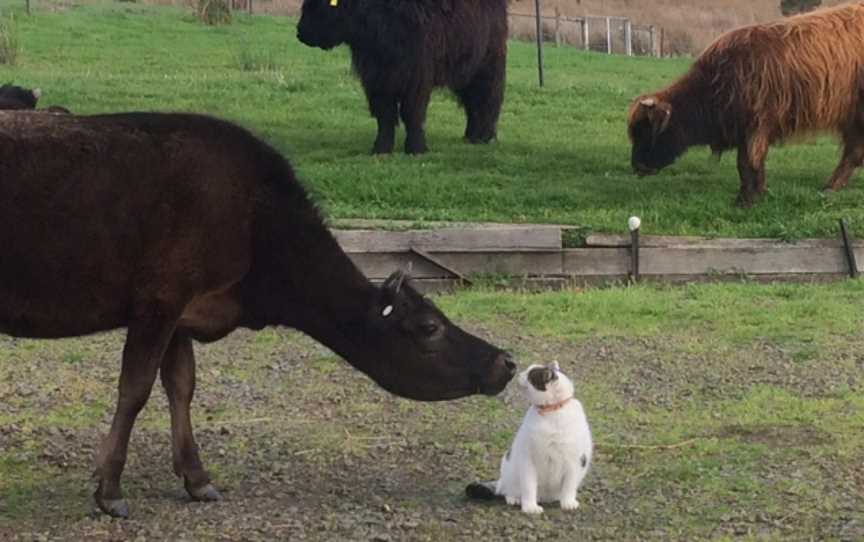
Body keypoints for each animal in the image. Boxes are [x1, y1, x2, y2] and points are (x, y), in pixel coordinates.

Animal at [466, 364, 592, 516]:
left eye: (530, 374)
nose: (519, 373)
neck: (551, 411)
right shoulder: (528, 460)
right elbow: (529, 487)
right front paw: (530, 507)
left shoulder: (575, 461)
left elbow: (569, 486)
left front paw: (568, 503)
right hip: (510, 472)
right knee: (507, 490)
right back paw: (514, 499)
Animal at [632, 3, 864, 207]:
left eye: (646, 131)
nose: (637, 166)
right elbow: (754, 165)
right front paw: (758, 193)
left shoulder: (755, 127)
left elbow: (746, 164)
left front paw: (745, 200)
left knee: (852, 153)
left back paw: (830, 186)